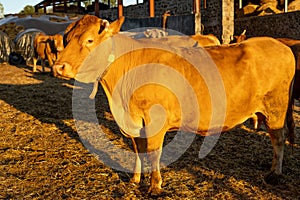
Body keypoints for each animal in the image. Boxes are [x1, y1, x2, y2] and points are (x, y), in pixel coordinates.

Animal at [52, 15, 294, 195]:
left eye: (90, 40)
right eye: (66, 39)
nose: (58, 67)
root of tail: (277, 43)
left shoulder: (155, 120)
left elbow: (153, 153)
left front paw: (155, 186)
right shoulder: (133, 121)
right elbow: (137, 149)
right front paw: (136, 179)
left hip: (276, 109)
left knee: (278, 138)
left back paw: (275, 173)